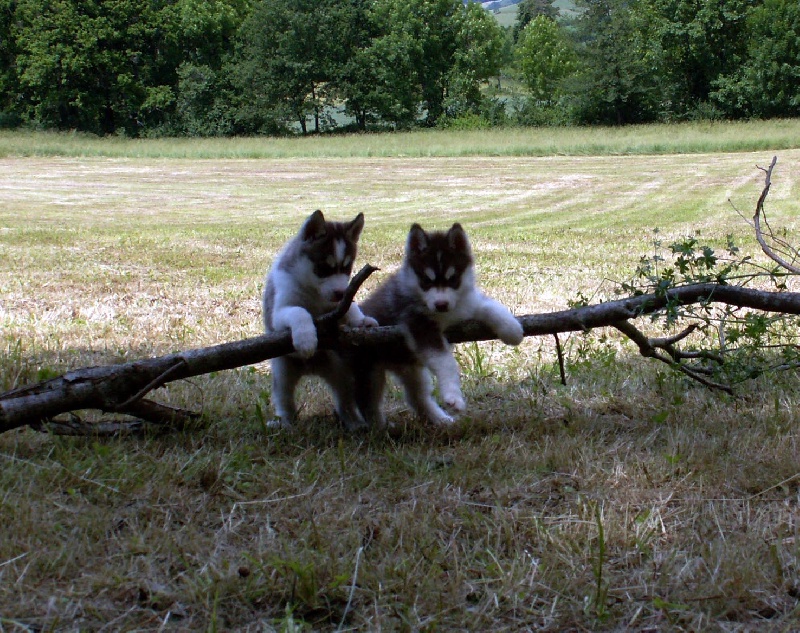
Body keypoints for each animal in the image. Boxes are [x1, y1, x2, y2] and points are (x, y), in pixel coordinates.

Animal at [260, 209, 376, 430]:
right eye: (324, 269)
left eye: (347, 269)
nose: (340, 293)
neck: (314, 293)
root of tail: (311, 368)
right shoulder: (278, 313)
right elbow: (299, 312)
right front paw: (306, 339)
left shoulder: (337, 309)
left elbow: (350, 307)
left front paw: (361, 320)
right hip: (283, 371)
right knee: (285, 400)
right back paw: (286, 424)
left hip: (341, 371)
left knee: (345, 401)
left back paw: (355, 423)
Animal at [358, 222, 524, 424]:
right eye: (426, 281)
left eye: (452, 279)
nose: (441, 304)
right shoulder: (420, 325)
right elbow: (446, 362)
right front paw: (453, 396)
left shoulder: (466, 305)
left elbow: (489, 307)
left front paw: (512, 330)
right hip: (369, 372)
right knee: (368, 405)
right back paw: (378, 426)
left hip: (411, 369)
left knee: (416, 396)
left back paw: (440, 420)